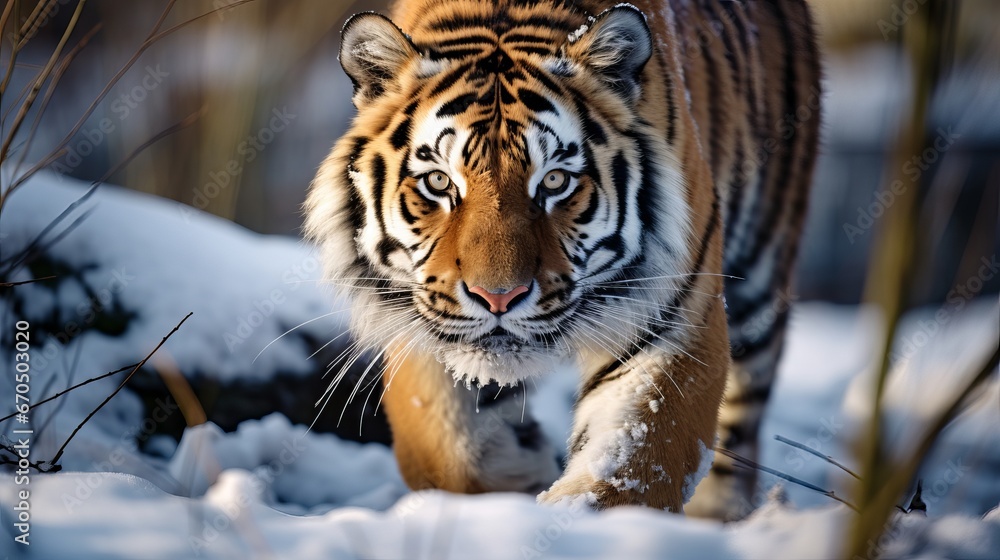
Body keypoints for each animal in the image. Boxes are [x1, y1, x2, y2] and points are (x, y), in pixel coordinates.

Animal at [304, 0, 820, 518]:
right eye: (439, 182)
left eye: (554, 181)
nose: (498, 297)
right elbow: (446, 452)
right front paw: (516, 475)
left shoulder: (672, 321)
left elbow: (632, 465)